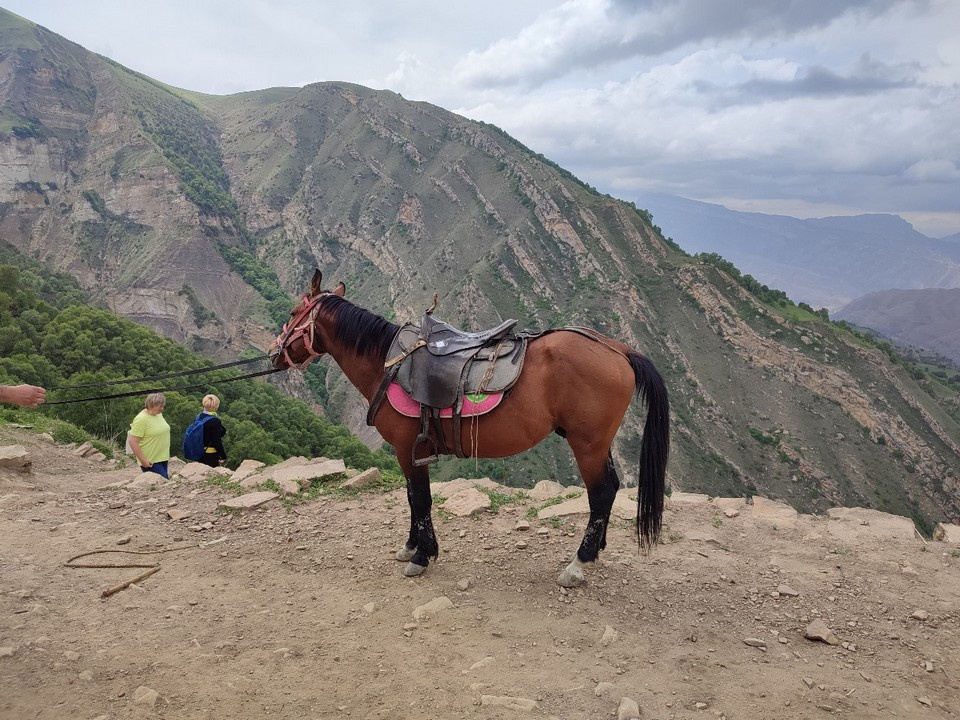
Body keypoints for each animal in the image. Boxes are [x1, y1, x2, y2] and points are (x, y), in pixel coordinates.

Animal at [274, 270, 672, 584]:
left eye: (293, 314)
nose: (274, 355)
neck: (388, 363)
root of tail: (619, 350)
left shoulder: (407, 449)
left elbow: (421, 499)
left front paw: (422, 556)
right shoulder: (409, 453)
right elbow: (413, 499)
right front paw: (411, 546)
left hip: (587, 443)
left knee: (601, 492)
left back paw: (578, 563)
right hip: (599, 443)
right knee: (611, 488)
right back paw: (596, 548)